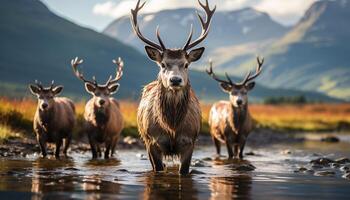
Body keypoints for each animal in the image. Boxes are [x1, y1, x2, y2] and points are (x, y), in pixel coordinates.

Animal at [131, 0, 213, 174]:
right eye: (163, 64)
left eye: (186, 64)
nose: (175, 80)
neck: (172, 127)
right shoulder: (152, 141)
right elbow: (158, 169)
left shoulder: (190, 141)